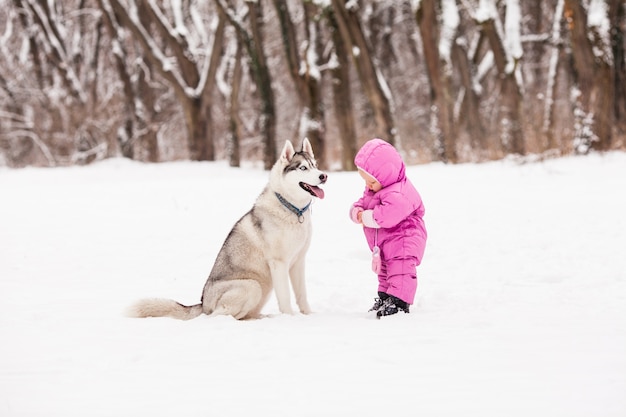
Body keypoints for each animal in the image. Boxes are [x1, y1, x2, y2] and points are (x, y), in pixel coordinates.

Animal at [124, 138, 324, 320]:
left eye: (315, 165)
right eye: (303, 168)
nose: (323, 176)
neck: (292, 209)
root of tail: (203, 304)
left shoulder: (298, 262)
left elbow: (301, 294)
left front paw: (308, 315)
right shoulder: (279, 264)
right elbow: (285, 296)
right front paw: (290, 317)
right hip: (252, 286)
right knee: (216, 316)